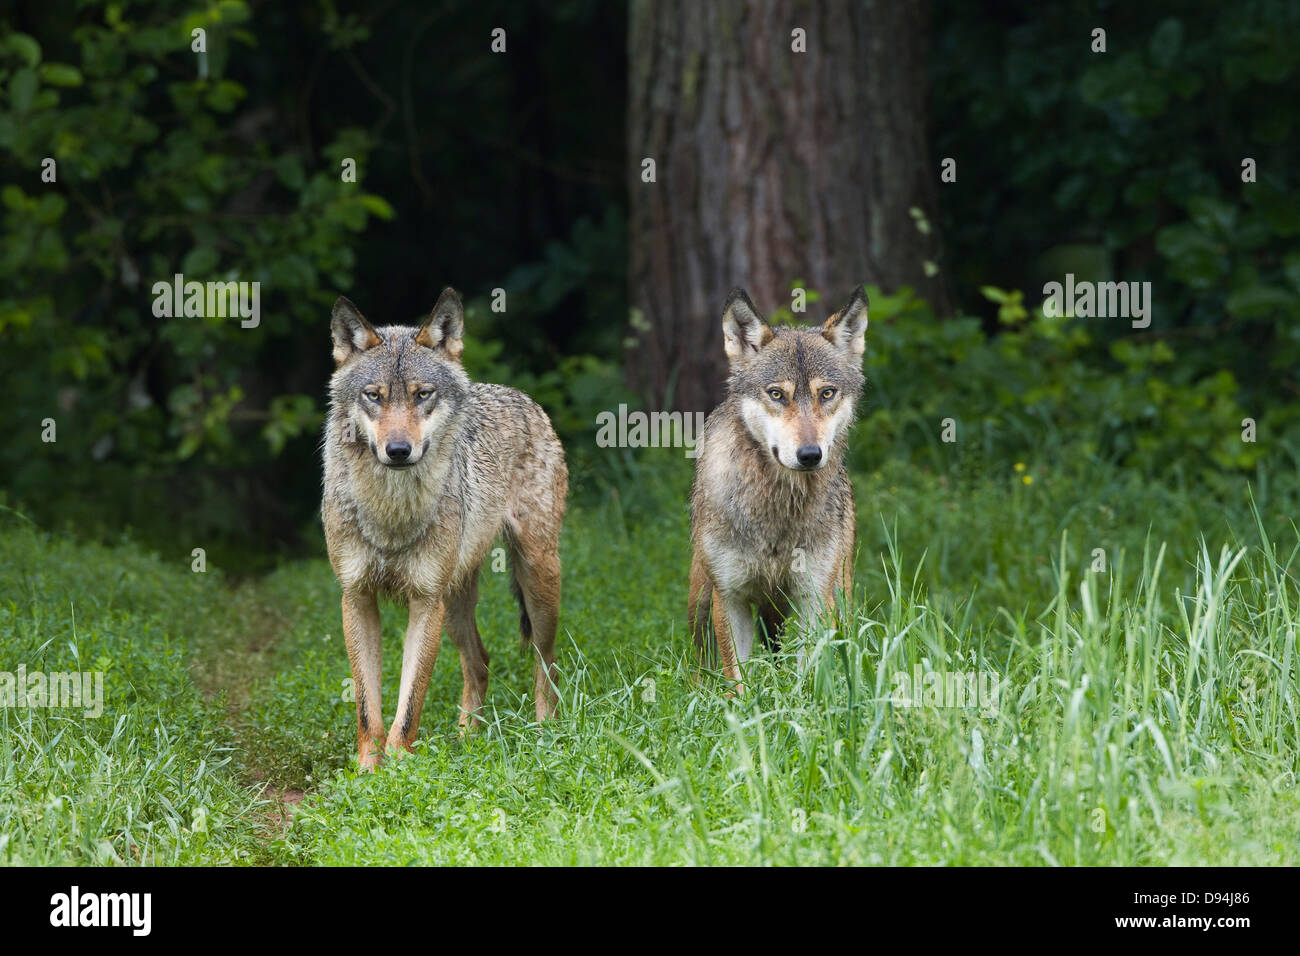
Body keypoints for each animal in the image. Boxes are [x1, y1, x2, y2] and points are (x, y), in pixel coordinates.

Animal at [319, 290, 564, 770]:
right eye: (374, 396)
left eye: (422, 395)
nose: (398, 450)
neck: (391, 513)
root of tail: (522, 397)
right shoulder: (356, 598)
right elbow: (367, 707)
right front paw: (366, 772)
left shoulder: (424, 601)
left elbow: (409, 703)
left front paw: (398, 773)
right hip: (455, 603)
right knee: (481, 662)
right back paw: (467, 741)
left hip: (536, 579)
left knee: (546, 664)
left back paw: (546, 736)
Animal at [686, 283, 868, 686]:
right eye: (776, 394)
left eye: (826, 394)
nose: (810, 454)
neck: (777, 510)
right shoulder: (731, 597)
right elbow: (738, 682)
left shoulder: (813, 597)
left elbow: (805, 678)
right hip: (700, 599)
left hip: (840, 595)